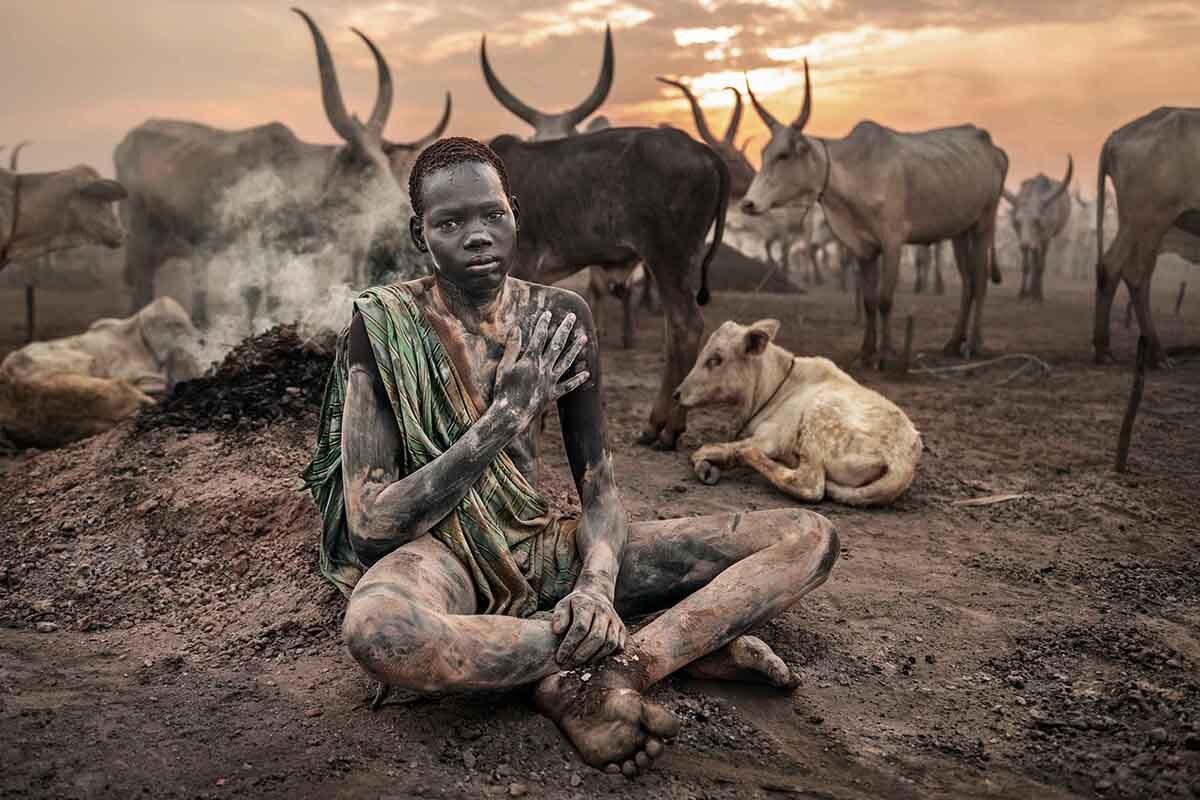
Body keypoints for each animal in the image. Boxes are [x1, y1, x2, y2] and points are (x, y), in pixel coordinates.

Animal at [115, 8, 450, 327]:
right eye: (366, 166)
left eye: (385, 163)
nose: (398, 217)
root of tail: (127, 139)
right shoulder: (256, 250)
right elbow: (254, 296)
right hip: (140, 234)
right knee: (141, 283)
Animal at [674, 318, 922, 506]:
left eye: (715, 359)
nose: (677, 393)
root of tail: (902, 464)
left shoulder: (771, 438)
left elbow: (707, 450)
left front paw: (708, 460)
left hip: (819, 418)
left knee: (809, 485)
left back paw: (751, 455)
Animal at [741, 61, 1009, 368]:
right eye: (764, 153)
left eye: (784, 155)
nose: (748, 203)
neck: (854, 172)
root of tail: (991, 144)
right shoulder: (863, 248)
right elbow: (869, 301)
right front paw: (865, 352)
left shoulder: (893, 241)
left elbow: (884, 299)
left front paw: (884, 354)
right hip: (960, 231)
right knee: (968, 282)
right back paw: (953, 343)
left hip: (984, 222)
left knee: (981, 281)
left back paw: (973, 344)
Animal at [1002, 156, 1073, 302]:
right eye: (1017, 221)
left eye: (1037, 220)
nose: (1025, 244)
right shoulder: (1021, 237)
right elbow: (1026, 266)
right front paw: (1022, 293)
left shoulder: (1046, 238)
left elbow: (1040, 266)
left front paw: (1038, 295)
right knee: (1034, 258)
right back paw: (1031, 291)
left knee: (1037, 261)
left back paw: (1034, 291)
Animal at [1094, 107, 1200, 367]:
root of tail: (1115, 136)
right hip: (1150, 219)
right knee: (1132, 273)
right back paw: (1156, 355)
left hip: (1133, 222)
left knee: (1114, 267)